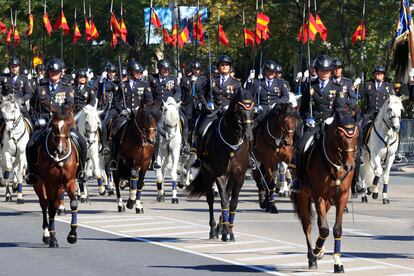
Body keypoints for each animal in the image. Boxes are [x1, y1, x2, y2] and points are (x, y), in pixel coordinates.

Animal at [33, 104, 78, 248]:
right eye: (53, 125)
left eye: (68, 124)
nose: (61, 150)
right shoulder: (49, 183)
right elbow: (51, 208)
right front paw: (52, 238)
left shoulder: (70, 181)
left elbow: (73, 203)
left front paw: (72, 235)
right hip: (40, 184)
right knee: (45, 204)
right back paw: (47, 234)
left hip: (59, 187)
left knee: (55, 202)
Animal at [188, 89, 256, 242]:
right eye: (239, 108)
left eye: (253, 109)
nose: (248, 135)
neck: (232, 144)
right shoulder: (220, 175)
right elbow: (224, 201)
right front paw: (225, 232)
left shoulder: (239, 176)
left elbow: (233, 202)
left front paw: (229, 230)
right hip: (207, 173)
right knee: (210, 199)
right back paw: (213, 229)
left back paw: (220, 226)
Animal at [292, 110, 360, 274]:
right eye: (339, 135)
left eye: (356, 135)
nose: (350, 166)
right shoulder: (319, 196)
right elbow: (324, 229)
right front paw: (316, 251)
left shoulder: (342, 197)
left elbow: (336, 229)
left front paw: (338, 262)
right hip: (302, 196)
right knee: (307, 225)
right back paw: (312, 256)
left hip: (328, 201)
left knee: (317, 222)